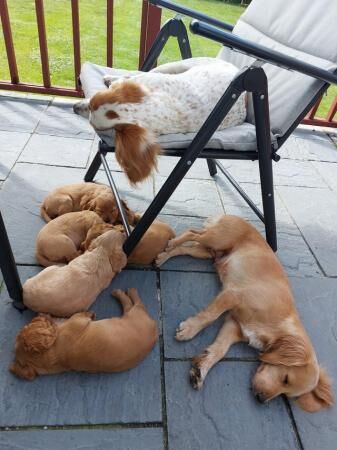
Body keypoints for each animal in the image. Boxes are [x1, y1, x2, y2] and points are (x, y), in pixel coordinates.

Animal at [10, 286, 158, 378]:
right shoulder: (78, 321)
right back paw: (125, 292)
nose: (40, 314)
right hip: (132, 314)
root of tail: (155, 329)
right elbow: (80, 314)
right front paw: (90, 313)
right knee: (133, 303)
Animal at [75, 58, 245, 185]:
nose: (74, 107)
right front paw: (114, 80)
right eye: (91, 103)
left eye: (92, 122)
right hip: (174, 66)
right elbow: (129, 77)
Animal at [156, 216, 334, 414]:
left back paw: (164, 255)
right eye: (286, 379)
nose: (261, 400)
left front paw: (201, 369)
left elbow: (220, 350)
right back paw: (171, 243)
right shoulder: (232, 295)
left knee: (187, 247)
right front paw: (189, 329)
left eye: (286, 394)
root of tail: (234, 216)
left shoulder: (233, 326)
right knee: (192, 232)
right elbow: (209, 316)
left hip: (206, 252)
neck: (278, 323)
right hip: (216, 239)